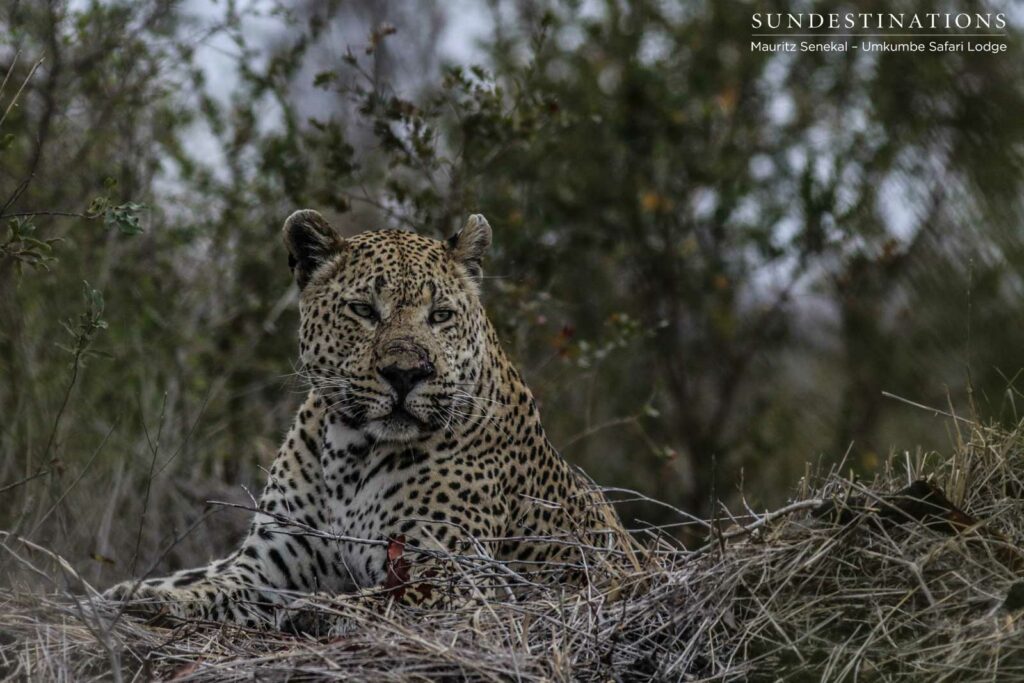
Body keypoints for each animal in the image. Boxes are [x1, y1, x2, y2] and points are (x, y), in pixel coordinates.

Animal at [103, 210, 629, 629]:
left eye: (440, 315)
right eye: (363, 310)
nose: (406, 373)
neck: (350, 452)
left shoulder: (451, 578)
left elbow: (381, 602)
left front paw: (313, 612)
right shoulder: (268, 568)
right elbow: (213, 592)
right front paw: (150, 603)